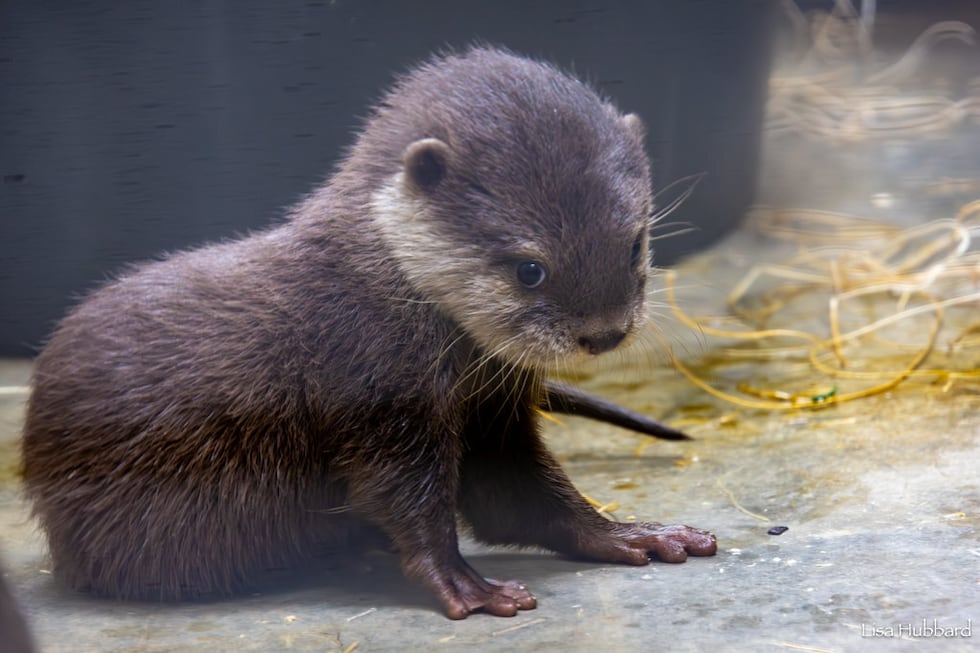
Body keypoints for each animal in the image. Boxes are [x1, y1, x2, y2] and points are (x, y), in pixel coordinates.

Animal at [20, 46, 716, 619]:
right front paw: (461, 583)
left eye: (634, 244)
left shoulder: (492, 412)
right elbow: (408, 501)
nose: (604, 334)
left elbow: (523, 498)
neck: (374, 295)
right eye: (529, 268)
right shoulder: (380, 404)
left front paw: (631, 533)